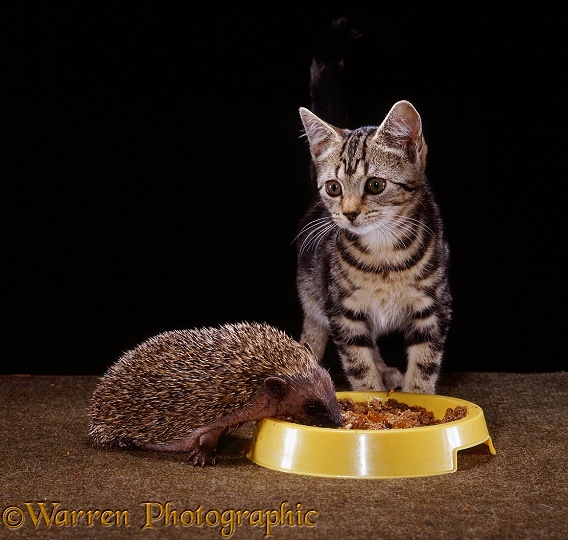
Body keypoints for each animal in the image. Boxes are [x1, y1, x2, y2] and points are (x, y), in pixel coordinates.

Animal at [298, 20, 452, 392]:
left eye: (376, 185)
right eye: (334, 188)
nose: (349, 212)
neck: (383, 253)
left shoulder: (434, 307)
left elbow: (425, 362)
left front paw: (417, 396)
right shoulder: (343, 311)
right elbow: (358, 363)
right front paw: (371, 394)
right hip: (314, 295)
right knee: (314, 335)